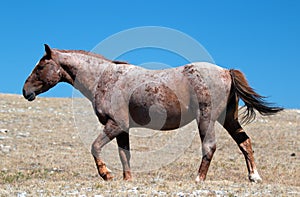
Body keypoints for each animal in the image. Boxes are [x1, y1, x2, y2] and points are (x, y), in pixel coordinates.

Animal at [22, 43, 282, 182]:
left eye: (41, 66)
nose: (26, 91)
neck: (105, 78)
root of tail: (226, 71)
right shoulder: (122, 129)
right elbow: (124, 155)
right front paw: (127, 180)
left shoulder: (115, 124)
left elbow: (95, 147)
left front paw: (106, 174)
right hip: (227, 119)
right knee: (244, 142)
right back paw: (254, 176)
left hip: (206, 119)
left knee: (210, 147)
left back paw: (198, 179)